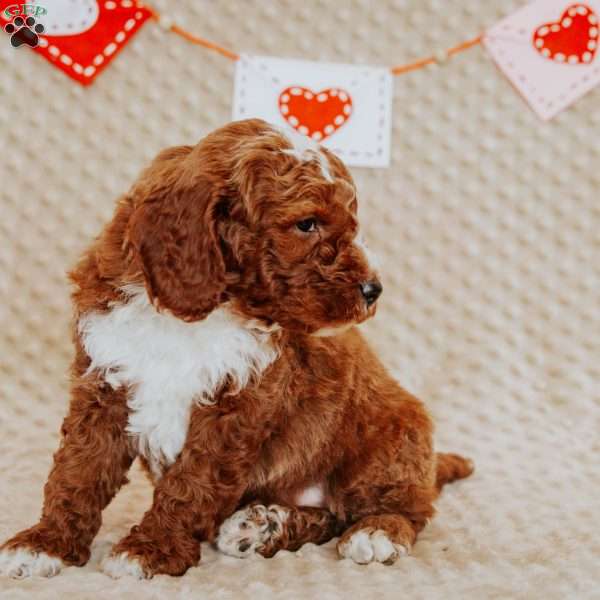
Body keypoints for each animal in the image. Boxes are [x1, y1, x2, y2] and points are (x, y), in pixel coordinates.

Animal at [0, 119, 474, 580]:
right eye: (307, 224)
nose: (374, 290)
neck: (195, 315)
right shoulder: (103, 384)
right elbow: (77, 470)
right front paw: (45, 541)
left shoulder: (236, 410)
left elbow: (190, 482)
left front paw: (150, 549)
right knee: (329, 516)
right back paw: (260, 526)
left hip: (392, 437)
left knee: (404, 508)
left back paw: (374, 531)